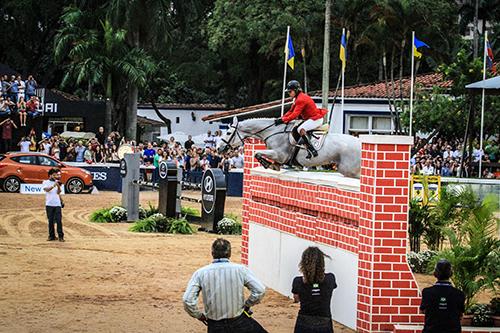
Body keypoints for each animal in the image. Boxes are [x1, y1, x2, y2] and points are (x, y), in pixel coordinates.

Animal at [218, 117, 360, 179]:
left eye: (228, 133)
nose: (219, 149)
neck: (273, 131)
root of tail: (359, 142)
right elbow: (259, 154)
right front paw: (274, 165)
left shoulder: (280, 154)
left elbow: (257, 153)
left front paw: (269, 165)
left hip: (348, 169)